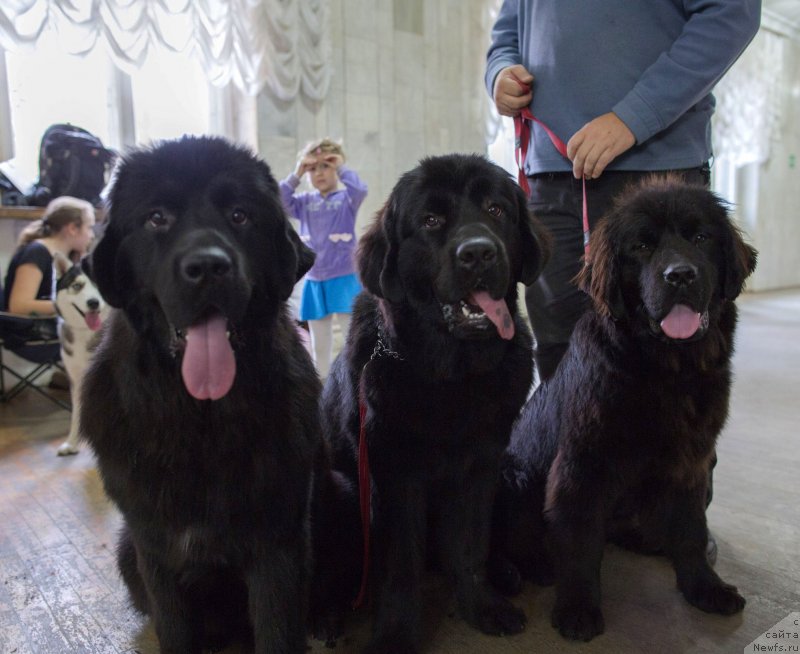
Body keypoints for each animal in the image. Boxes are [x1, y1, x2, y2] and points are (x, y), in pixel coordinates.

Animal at [54, 254, 108, 458]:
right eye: (77, 285)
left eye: (99, 284)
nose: (93, 302)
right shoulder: (76, 379)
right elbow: (76, 413)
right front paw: (72, 443)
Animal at [79, 136, 320, 652]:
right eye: (156, 218)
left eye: (240, 215)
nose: (208, 266)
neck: (199, 418)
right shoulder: (154, 545)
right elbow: (174, 627)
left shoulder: (277, 541)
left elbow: (276, 628)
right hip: (127, 550)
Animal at [318, 156, 552, 652]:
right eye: (430, 221)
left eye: (496, 209)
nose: (478, 253)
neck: (452, 375)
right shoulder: (396, 472)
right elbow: (402, 563)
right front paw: (396, 635)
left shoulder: (483, 460)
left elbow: (469, 544)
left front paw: (481, 607)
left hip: (512, 471)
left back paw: (514, 570)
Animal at [490, 174, 760, 640]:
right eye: (642, 247)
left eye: (701, 237)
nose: (680, 275)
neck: (666, 370)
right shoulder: (583, 465)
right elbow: (579, 540)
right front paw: (578, 609)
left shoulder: (690, 460)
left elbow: (691, 528)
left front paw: (704, 588)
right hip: (512, 472)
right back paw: (523, 570)